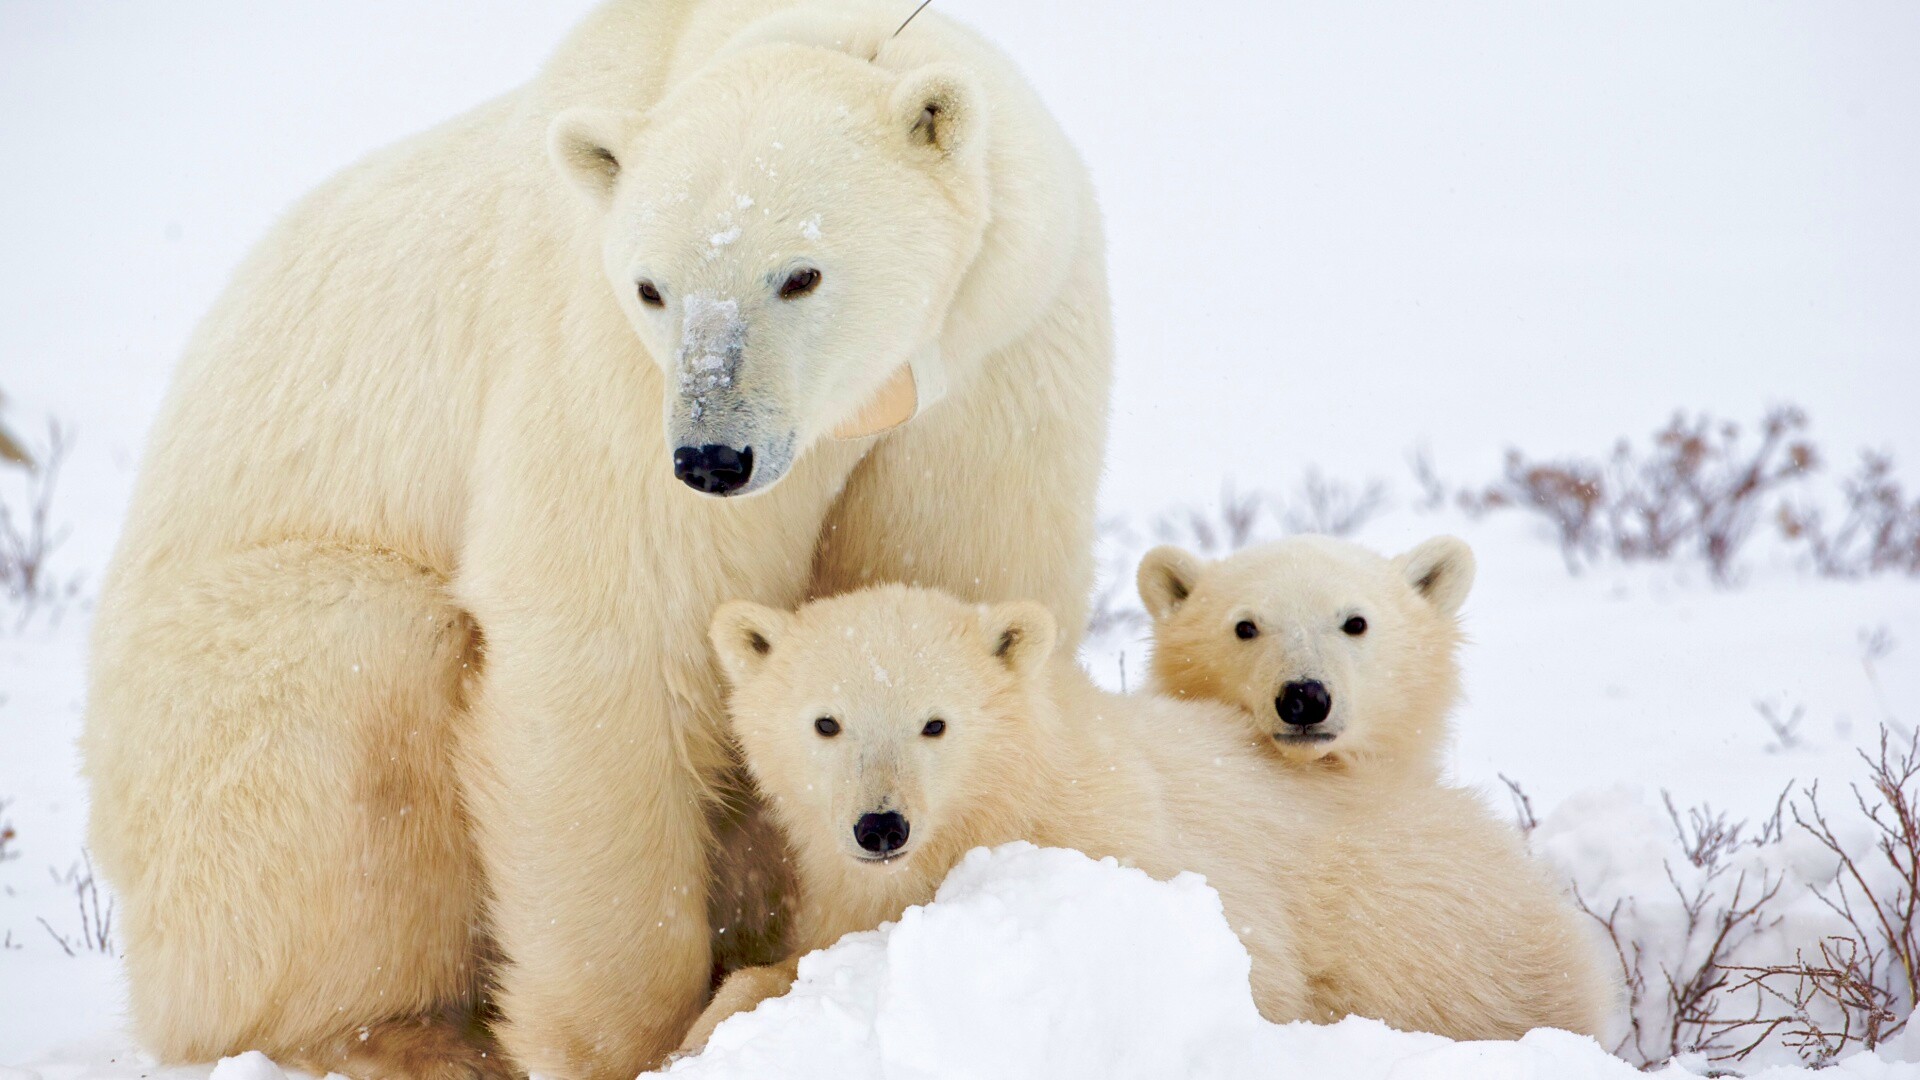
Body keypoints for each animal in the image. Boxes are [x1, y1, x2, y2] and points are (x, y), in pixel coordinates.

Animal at [82, 4, 1113, 1068]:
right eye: (653, 287)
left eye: (801, 273)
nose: (712, 456)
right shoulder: (602, 365)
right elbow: (611, 638)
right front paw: (640, 1043)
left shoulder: (997, 356)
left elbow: (950, 580)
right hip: (211, 719)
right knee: (354, 682)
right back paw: (411, 1040)